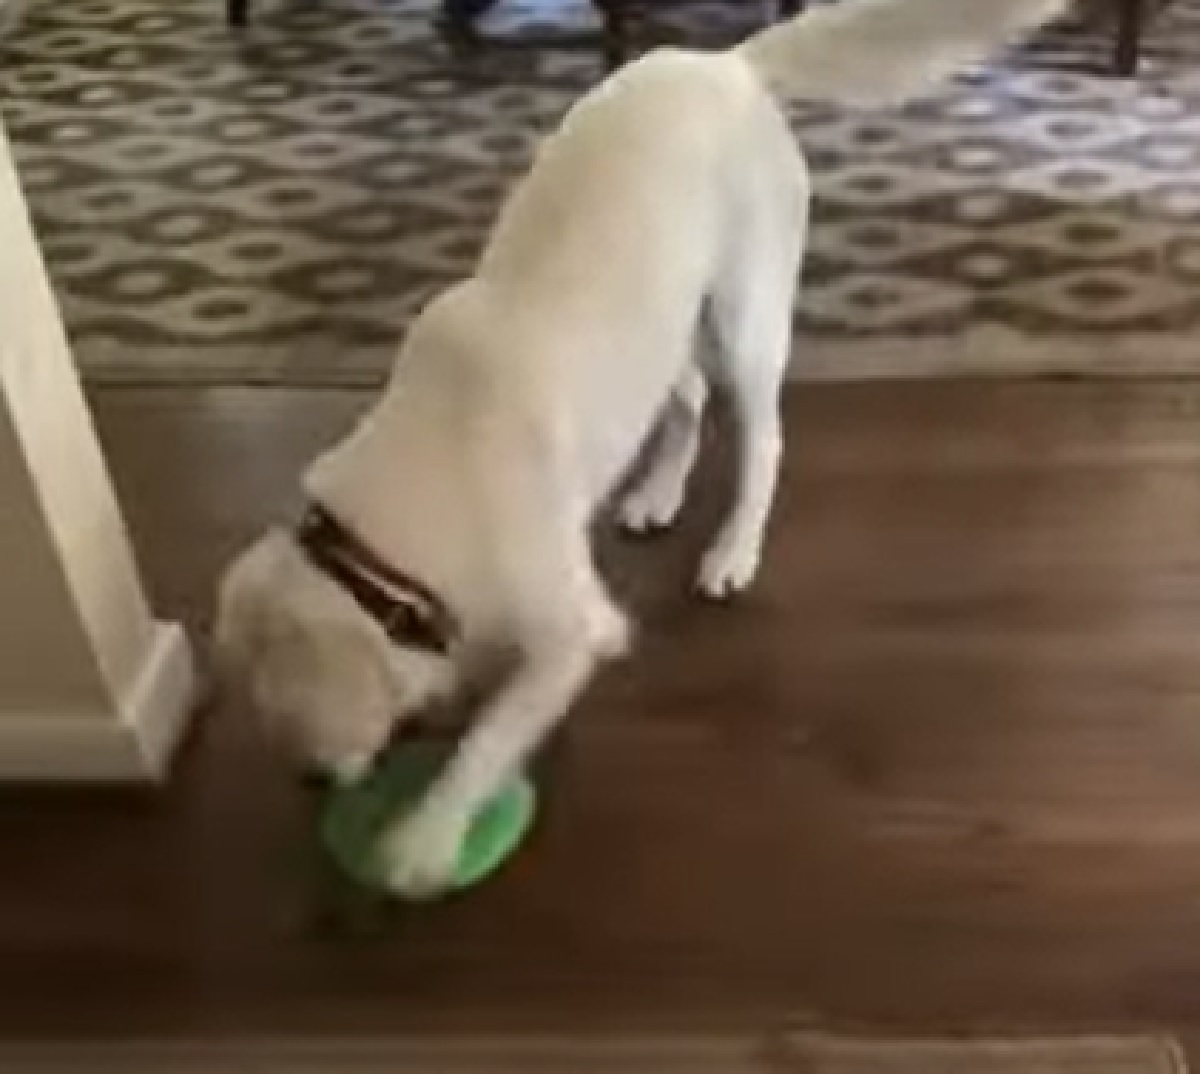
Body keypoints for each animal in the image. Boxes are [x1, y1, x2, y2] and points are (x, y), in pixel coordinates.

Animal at [213, 0, 1060, 897]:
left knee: (763, 439)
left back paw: (734, 549)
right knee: (685, 401)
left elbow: (490, 738)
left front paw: (426, 836)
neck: (419, 482)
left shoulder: (573, 631)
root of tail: (729, 64)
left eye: (285, 720)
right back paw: (659, 494)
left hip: (745, 318)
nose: (310, 783)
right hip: (665, 328)